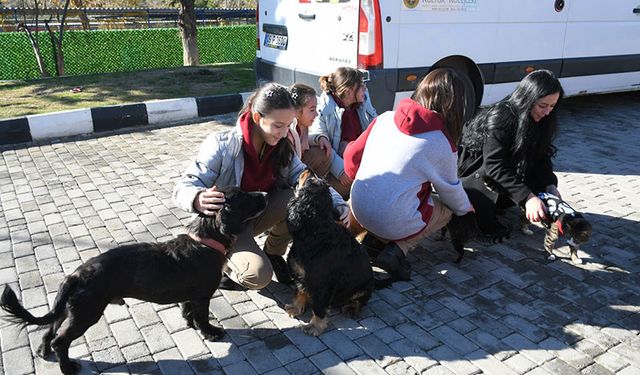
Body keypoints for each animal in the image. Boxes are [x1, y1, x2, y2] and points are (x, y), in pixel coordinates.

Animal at [0, 188, 268, 375]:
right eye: (244, 197)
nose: (265, 194)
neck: (205, 241)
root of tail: (75, 275)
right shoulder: (203, 296)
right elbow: (202, 317)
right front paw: (211, 333)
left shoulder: (190, 296)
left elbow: (187, 310)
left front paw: (190, 323)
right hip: (87, 313)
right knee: (60, 340)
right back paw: (67, 367)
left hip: (70, 310)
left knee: (49, 329)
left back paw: (44, 352)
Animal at [286, 170, 376, 338]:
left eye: (310, 180)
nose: (308, 169)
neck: (315, 231)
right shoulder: (301, 274)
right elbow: (300, 291)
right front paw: (296, 308)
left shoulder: (323, 283)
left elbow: (319, 307)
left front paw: (314, 326)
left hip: (364, 287)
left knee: (360, 301)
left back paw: (351, 308)